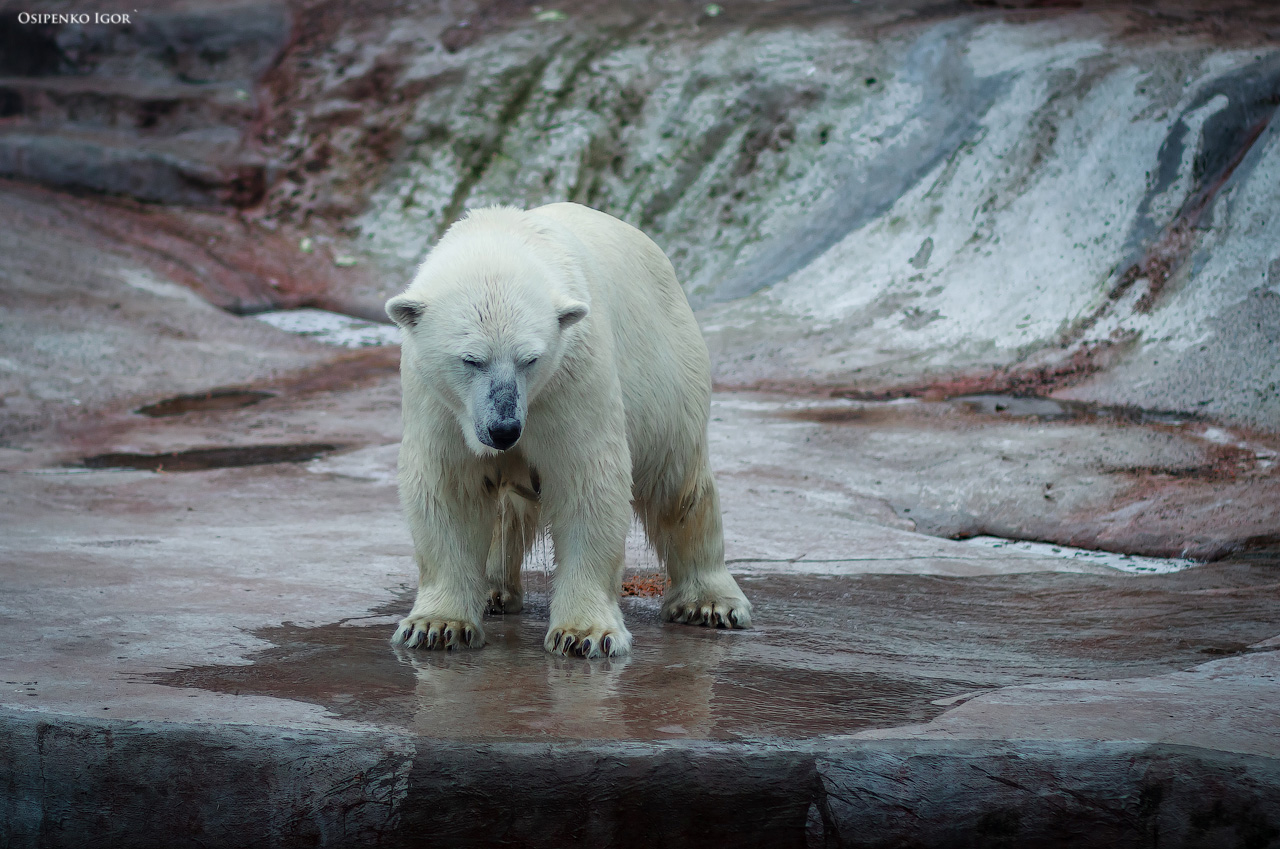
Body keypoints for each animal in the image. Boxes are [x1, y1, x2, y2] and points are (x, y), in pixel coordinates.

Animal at [384, 202, 752, 660]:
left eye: (530, 358)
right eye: (471, 359)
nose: (504, 429)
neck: (501, 235)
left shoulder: (571, 375)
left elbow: (587, 481)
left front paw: (584, 634)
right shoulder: (438, 400)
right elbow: (449, 486)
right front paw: (437, 625)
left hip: (669, 368)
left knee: (677, 480)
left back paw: (709, 603)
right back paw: (492, 590)